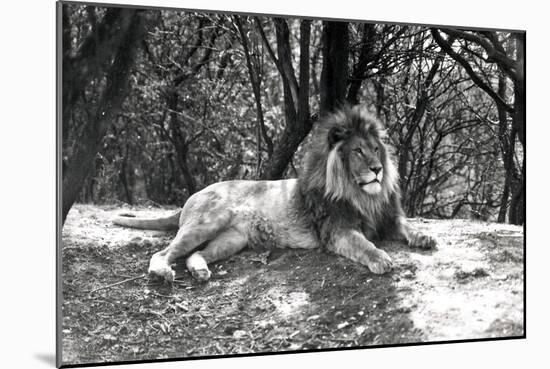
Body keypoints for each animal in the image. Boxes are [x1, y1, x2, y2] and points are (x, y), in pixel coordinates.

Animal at [114, 105, 438, 284]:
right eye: (358, 151)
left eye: (375, 149)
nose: (377, 169)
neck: (363, 195)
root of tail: (193, 196)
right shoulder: (337, 231)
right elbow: (364, 245)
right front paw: (380, 258)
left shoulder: (388, 217)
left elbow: (407, 226)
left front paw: (425, 237)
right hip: (207, 222)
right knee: (163, 253)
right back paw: (163, 272)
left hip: (232, 239)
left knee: (194, 254)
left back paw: (200, 272)